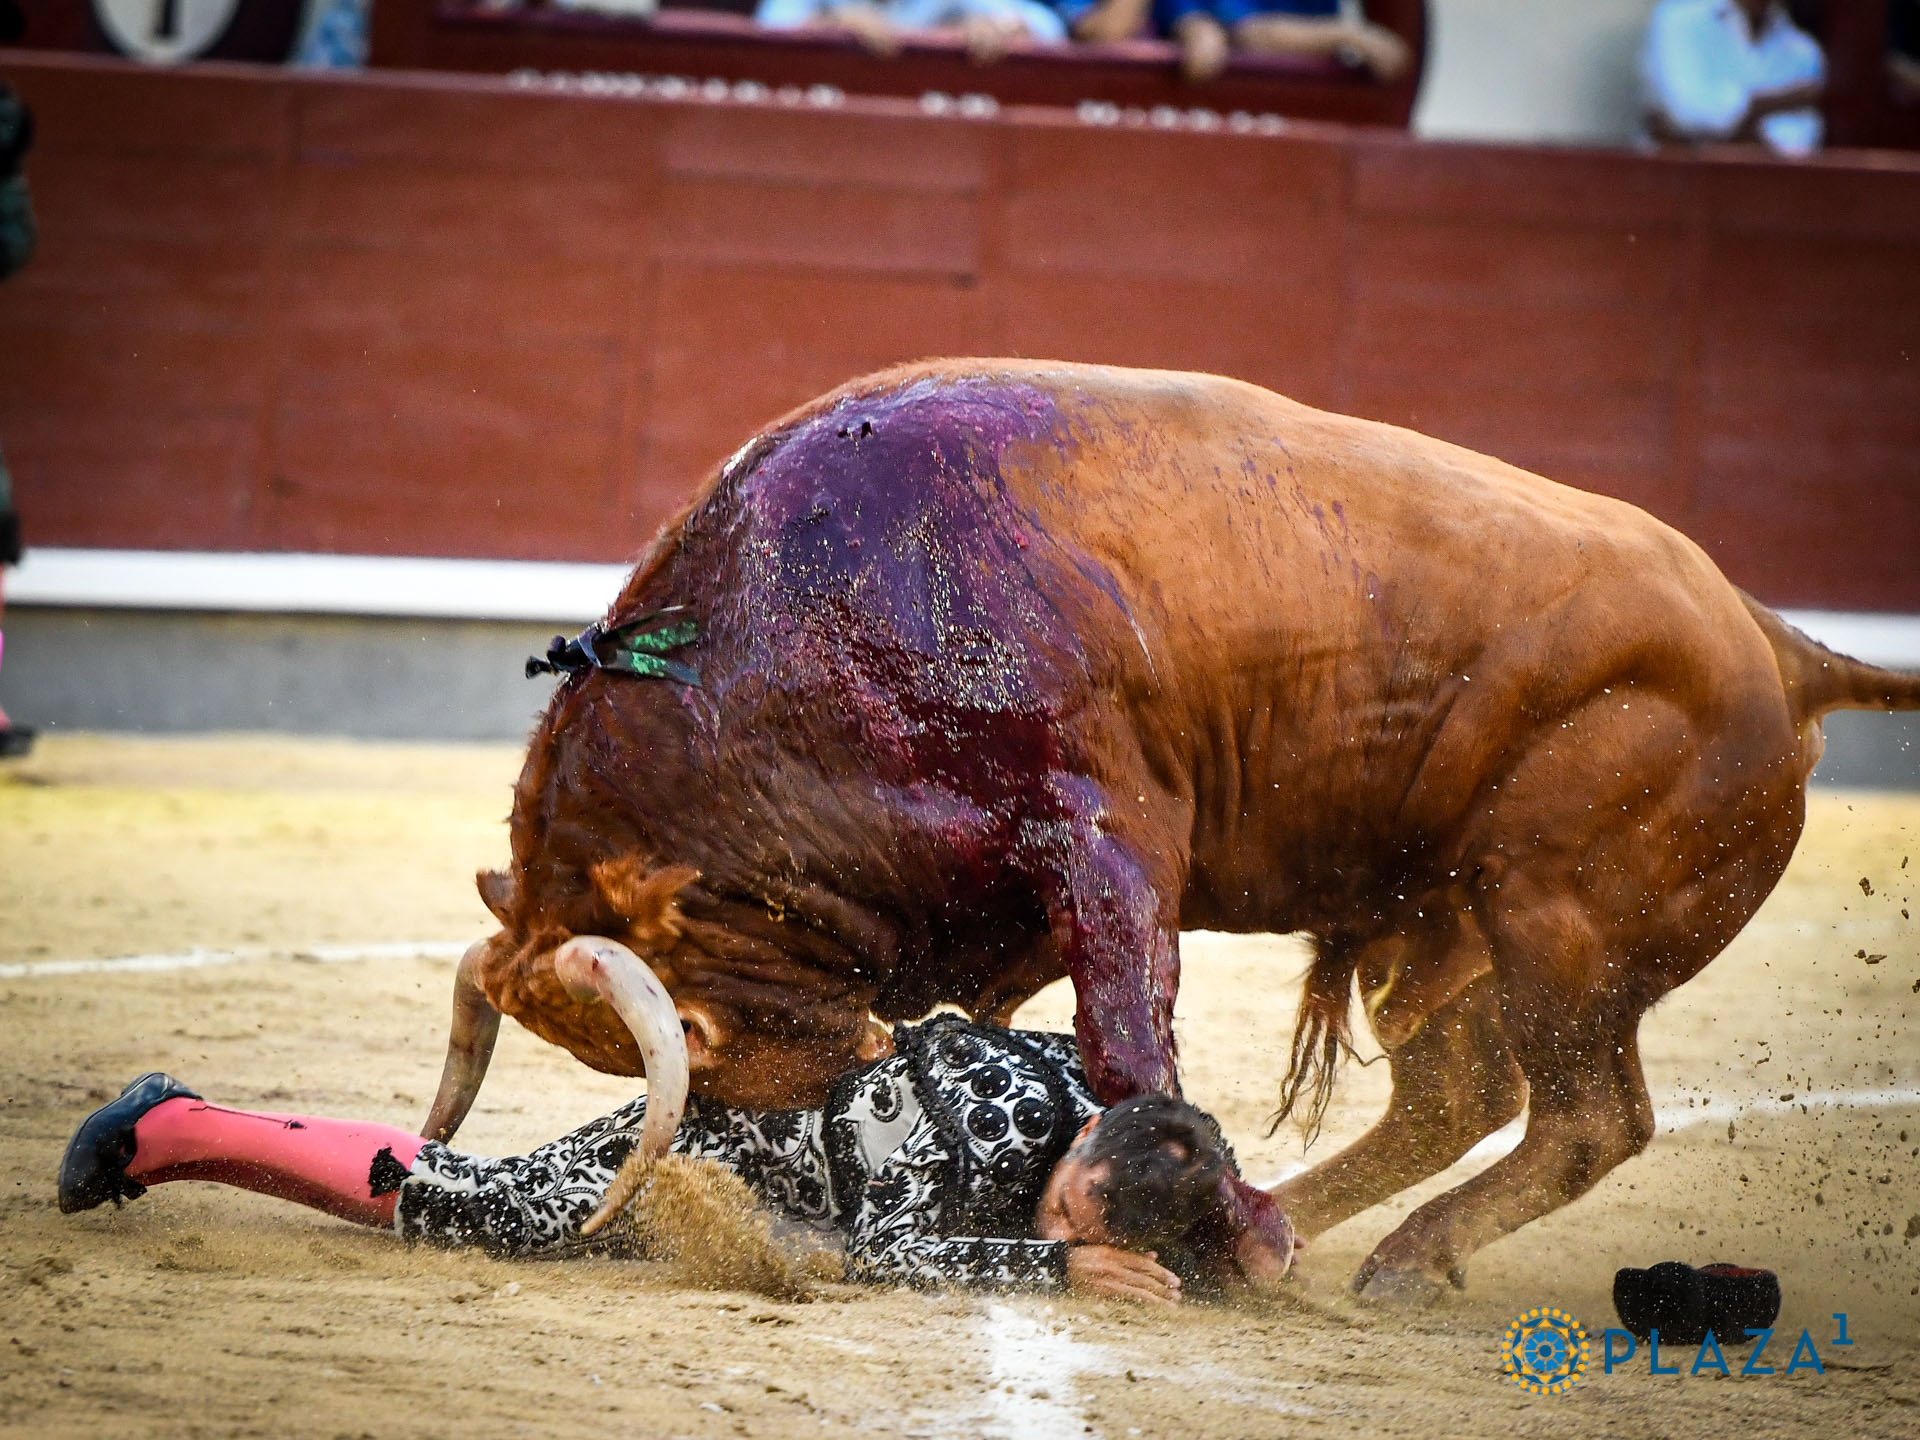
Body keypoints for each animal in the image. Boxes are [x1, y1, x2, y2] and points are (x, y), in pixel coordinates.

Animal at [422, 359, 1919, 1300]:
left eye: (687, 1027)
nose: (841, 1107)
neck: (802, 643)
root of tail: (1778, 647)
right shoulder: (1015, 904)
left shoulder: (1109, 830)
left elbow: (1128, 1027)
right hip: (1436, 922)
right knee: (1461, 1095)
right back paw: (1310, 1232)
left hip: (1562, 924)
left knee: (1590, 1115)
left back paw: (1375, 1260)